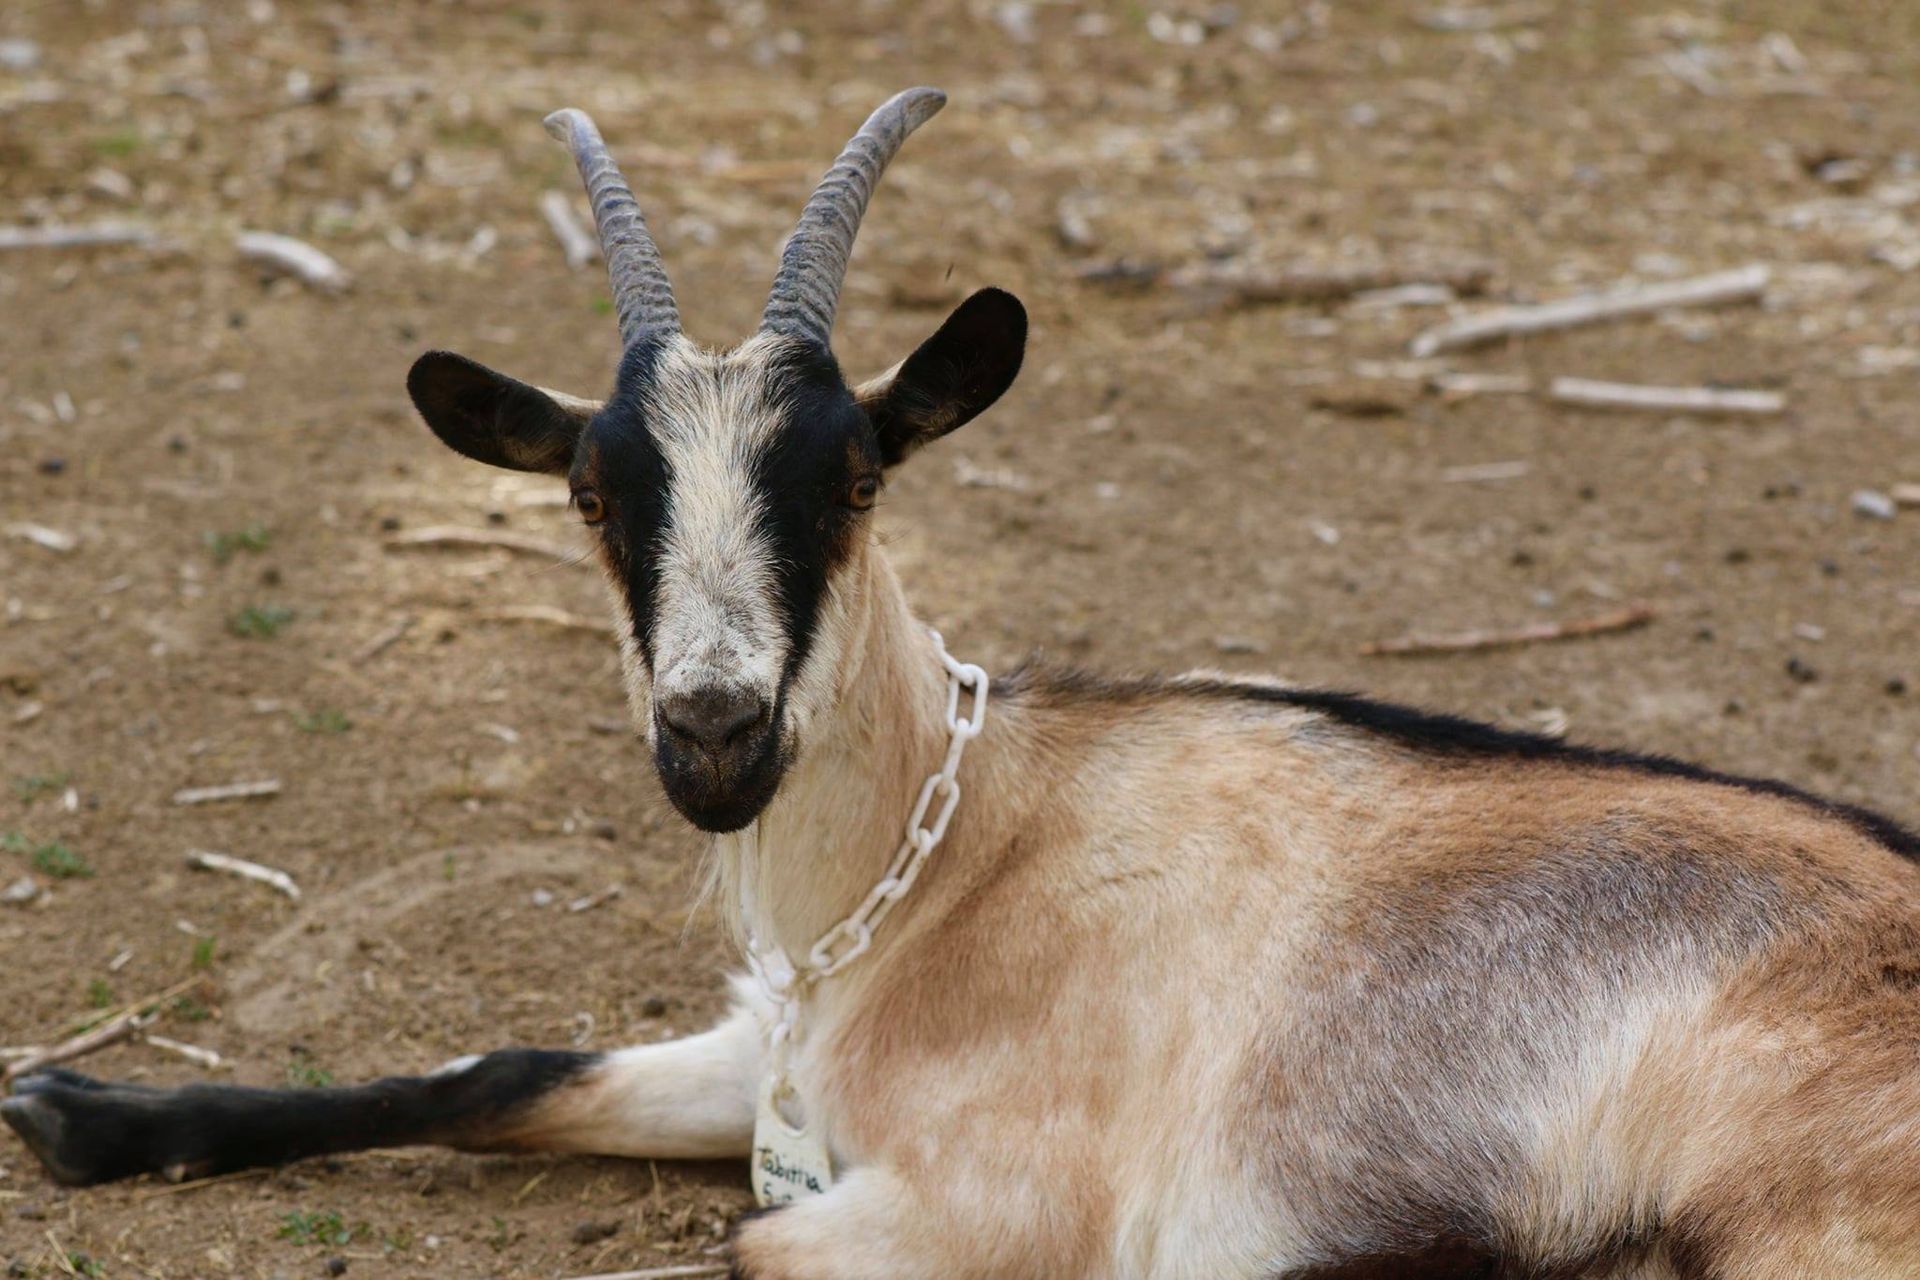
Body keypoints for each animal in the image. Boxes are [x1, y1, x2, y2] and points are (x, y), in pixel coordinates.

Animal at [8, 86, 1920, 1280]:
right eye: (592, 493)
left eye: (855, 477)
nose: (714, 732)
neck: (947, 861)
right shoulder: (761, 1048)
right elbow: (502, 1073)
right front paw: (75, 1113)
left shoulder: (989, 1206)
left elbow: (746, 1237)